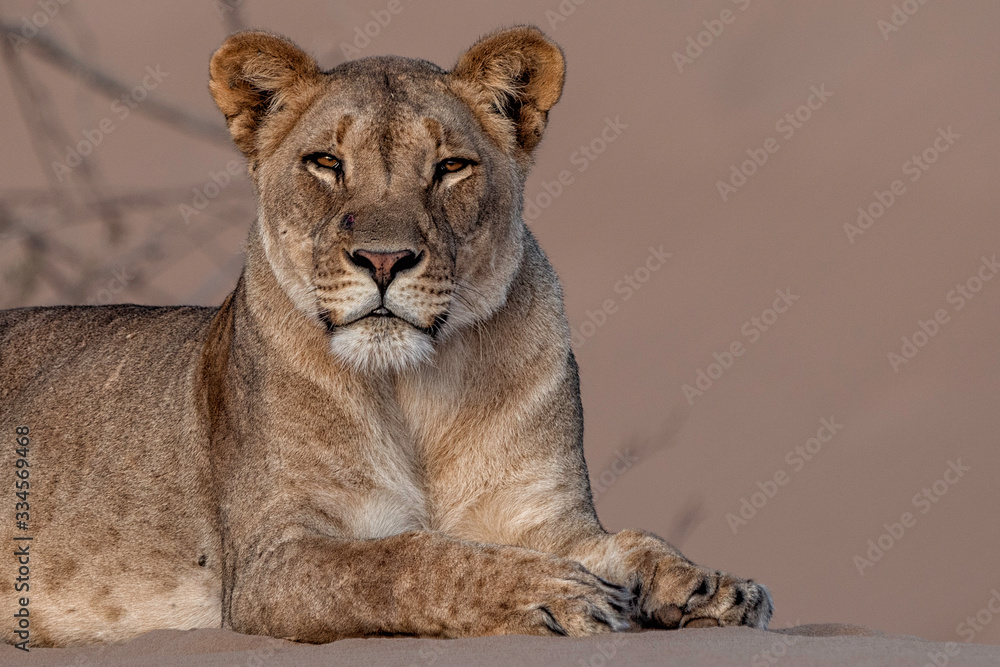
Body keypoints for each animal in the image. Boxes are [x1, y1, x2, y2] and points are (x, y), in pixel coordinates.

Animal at [0, 26, 772, 647]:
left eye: (451, 166)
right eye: (326, 163)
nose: (382, 259)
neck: (415, 387)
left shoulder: (542, 517)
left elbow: (632, 543)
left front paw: (709, 585)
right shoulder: (272, 561)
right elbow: (405, 557)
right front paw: (555, 592)